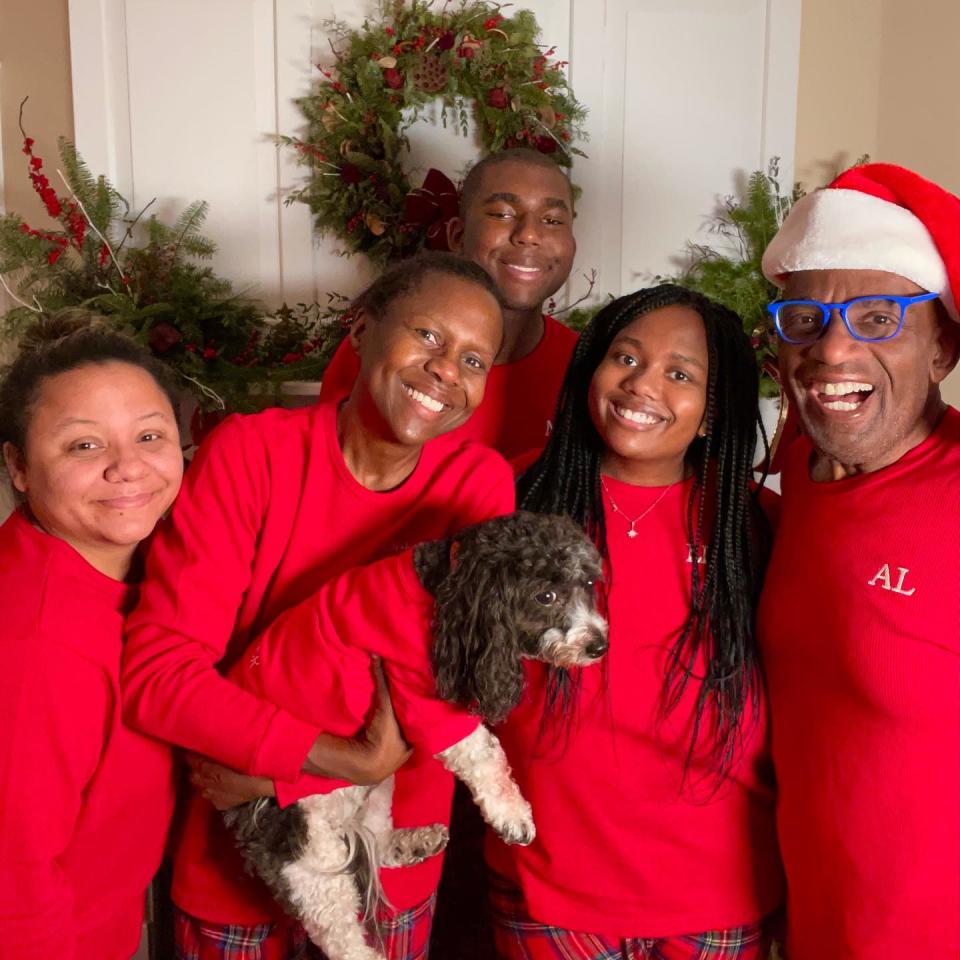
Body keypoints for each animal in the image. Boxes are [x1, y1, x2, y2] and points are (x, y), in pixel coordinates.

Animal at [223, 510, 608, 960]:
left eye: (588, 585)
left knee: (376, 838)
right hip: (304, 850)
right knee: (338, 929)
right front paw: (512, 814)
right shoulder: (416, 691)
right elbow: (483, 753)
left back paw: (414, 842)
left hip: (375, 785)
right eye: (545, 596)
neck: (444, 587)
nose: (599, 645)